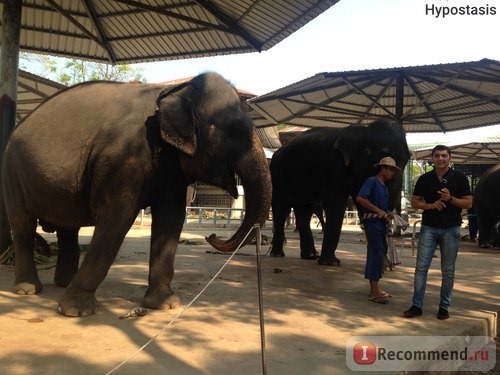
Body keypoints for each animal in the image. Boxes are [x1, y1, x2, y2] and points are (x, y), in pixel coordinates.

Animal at [1, 72, 272, 318]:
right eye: (235, 132)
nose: (212, 235)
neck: (175, 92)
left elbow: (170, 220)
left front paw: (166, 305)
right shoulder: (122, 156)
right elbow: (116, 219)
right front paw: (75, 311)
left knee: (68, 227)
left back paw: (63, 284)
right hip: (12, 171)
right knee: (23, 225)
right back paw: (27, 290)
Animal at [270, 119, 410, 266]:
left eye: (408, 158)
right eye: (383, 155)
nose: (390, 265)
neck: (363, 131)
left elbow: (363, 203)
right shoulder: (332, 165)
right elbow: (335, 203)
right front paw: (330, 263)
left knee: (305, 210)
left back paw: (311, 256)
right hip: (277, 174)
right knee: (281, 208)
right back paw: (278, 254)